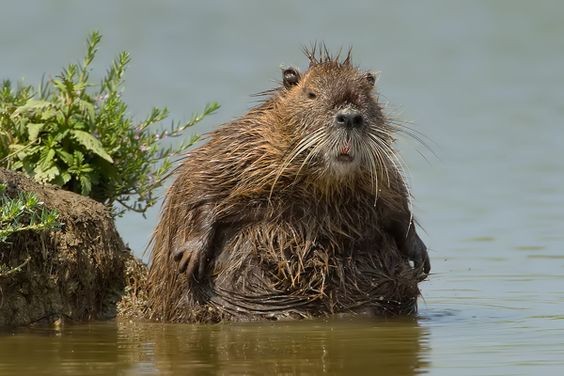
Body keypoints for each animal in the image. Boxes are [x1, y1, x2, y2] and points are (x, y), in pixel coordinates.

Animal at [144, 47, 428, 324]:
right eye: (311, 93)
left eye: (366, 96)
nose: (349, 118)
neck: (323, 185)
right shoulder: (242, 143)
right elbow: (201, 180)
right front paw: (190, 255)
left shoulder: (380, 171)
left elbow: (397, 204)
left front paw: (421, 256)